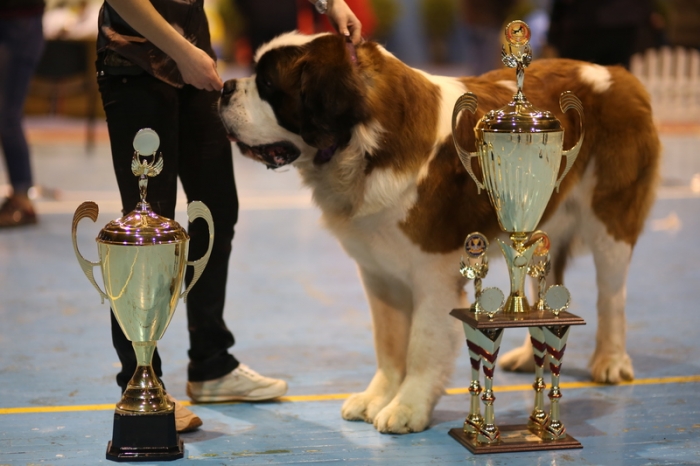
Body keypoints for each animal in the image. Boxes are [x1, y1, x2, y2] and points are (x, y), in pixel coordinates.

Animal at [219, 31, 660, 434]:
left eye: (268, 85)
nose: (223, 87)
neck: (367, 144)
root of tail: (622, 75)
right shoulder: (378, 272)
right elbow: (389, 341)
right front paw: (378, 397)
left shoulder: (433, 271)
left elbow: (422, 342)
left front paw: (407, 408)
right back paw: (528, 352)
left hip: (611, 221)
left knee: (612, 297)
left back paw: (611, 361)